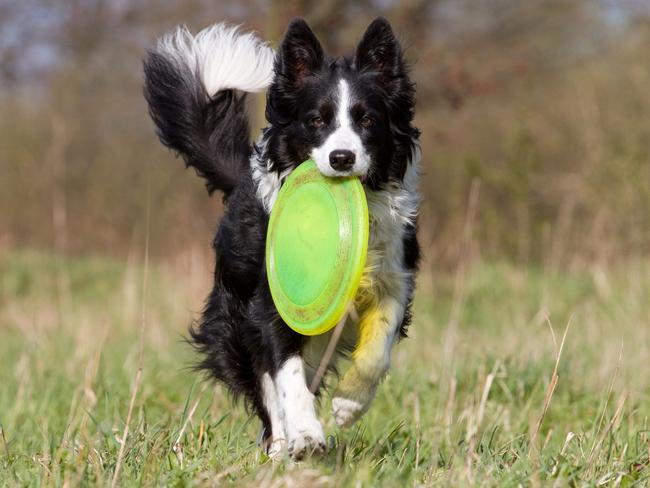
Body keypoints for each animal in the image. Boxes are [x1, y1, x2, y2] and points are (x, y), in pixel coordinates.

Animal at [142, 17, 420, 460]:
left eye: (367, 120)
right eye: (317, 120)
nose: (342, 158)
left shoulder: (395, 279)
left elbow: (379, 347)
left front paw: (349, 404)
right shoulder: (270, 302)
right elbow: (286, 377)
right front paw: (305, 434)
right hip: (234, 322)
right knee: (267, 385)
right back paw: (279, 446)